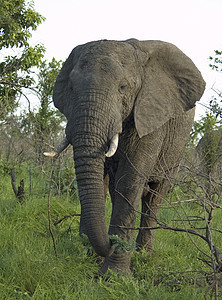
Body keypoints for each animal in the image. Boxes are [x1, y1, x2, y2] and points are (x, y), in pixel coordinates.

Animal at [48, 38, 205, 276]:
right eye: (72, 88)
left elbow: (129, 181)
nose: (110, 244)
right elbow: (105, 180)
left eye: (123, 88)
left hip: (177, 147)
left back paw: (144, 253)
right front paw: (89, 252)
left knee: (155, 196)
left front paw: (113, 275)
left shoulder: (150, 115)